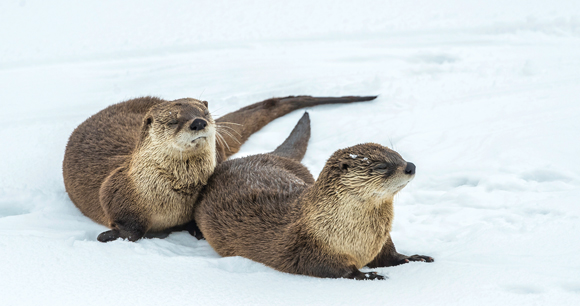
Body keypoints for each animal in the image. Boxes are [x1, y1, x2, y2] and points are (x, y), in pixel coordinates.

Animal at [62, 95, 376, 241]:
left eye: (204, 111)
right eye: (174, 119)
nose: (198, 122)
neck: (173, 194)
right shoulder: (116, 191)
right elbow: (129, 227)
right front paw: (110, 235)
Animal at [197, 112, 432, 280]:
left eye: (399, 155)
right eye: (383, 166)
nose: (410, 166)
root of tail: (267, 154)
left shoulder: (381, 241)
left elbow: (389, 254)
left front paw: (413, 257)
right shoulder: (306, 247)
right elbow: (327, 267)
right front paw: (366, 275)